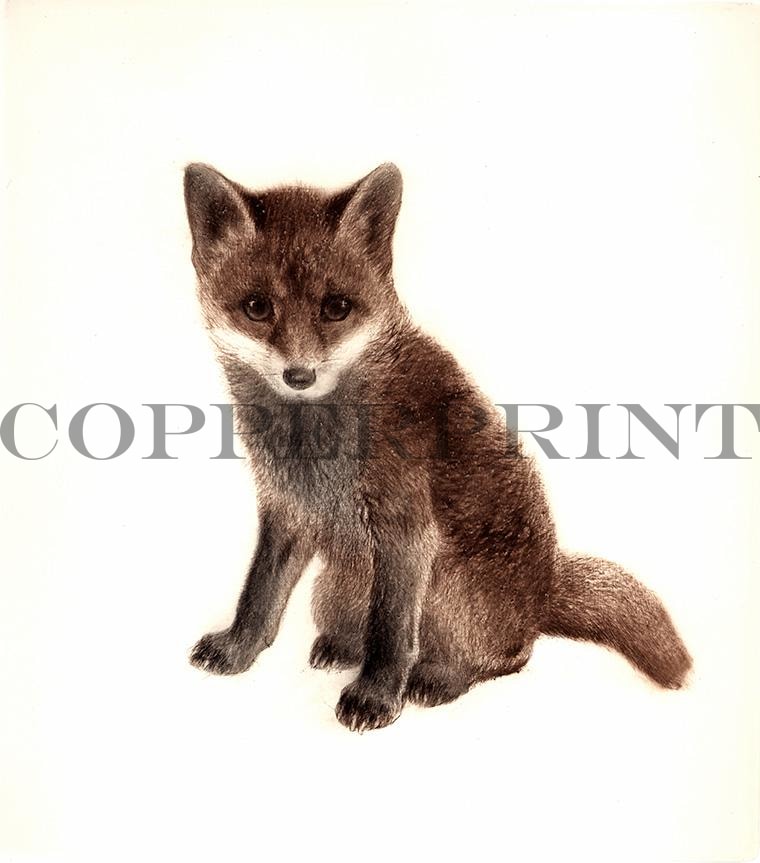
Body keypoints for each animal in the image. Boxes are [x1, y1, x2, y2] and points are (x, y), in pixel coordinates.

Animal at [184, 161, 692, 732]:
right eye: (257, 308)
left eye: (337, 308)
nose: (299, 375)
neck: (311, 444)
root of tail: (544, 591)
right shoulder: (286, 510)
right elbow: (259, 595)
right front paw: (237, 650)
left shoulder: (407, 530)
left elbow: (390, 634)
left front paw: (377, 697)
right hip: (337, 587)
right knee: (365, 630)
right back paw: (342, 647)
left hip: (451, 593)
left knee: (505, 657)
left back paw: (438, 678)